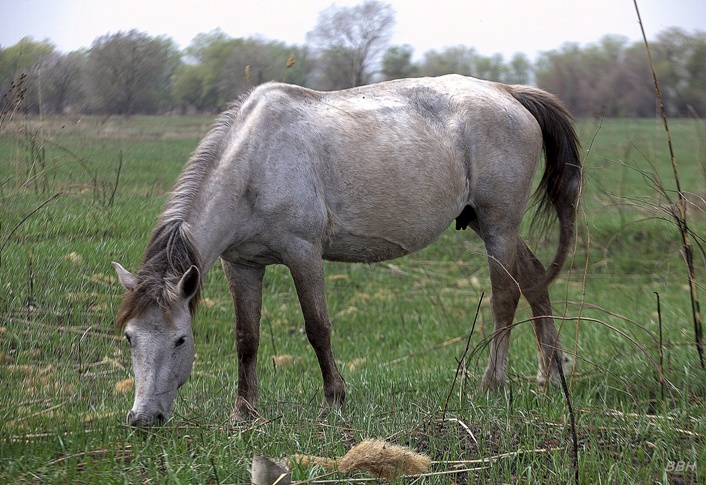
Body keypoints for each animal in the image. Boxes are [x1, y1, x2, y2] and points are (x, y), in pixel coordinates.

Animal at [113, 73, 580, 426]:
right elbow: (247, 338)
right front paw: (243, 413)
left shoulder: (303, 254)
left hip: (499, 225)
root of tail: (508, 92)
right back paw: (549, 377)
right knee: (534, 279)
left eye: (180, 339)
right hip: (490, 224)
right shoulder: (241, 264)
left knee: (505, 297)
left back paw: (492, 384)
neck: (254, 163)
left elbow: (317, 328)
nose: (143, 418)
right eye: (130, 338)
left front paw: (334, 401)